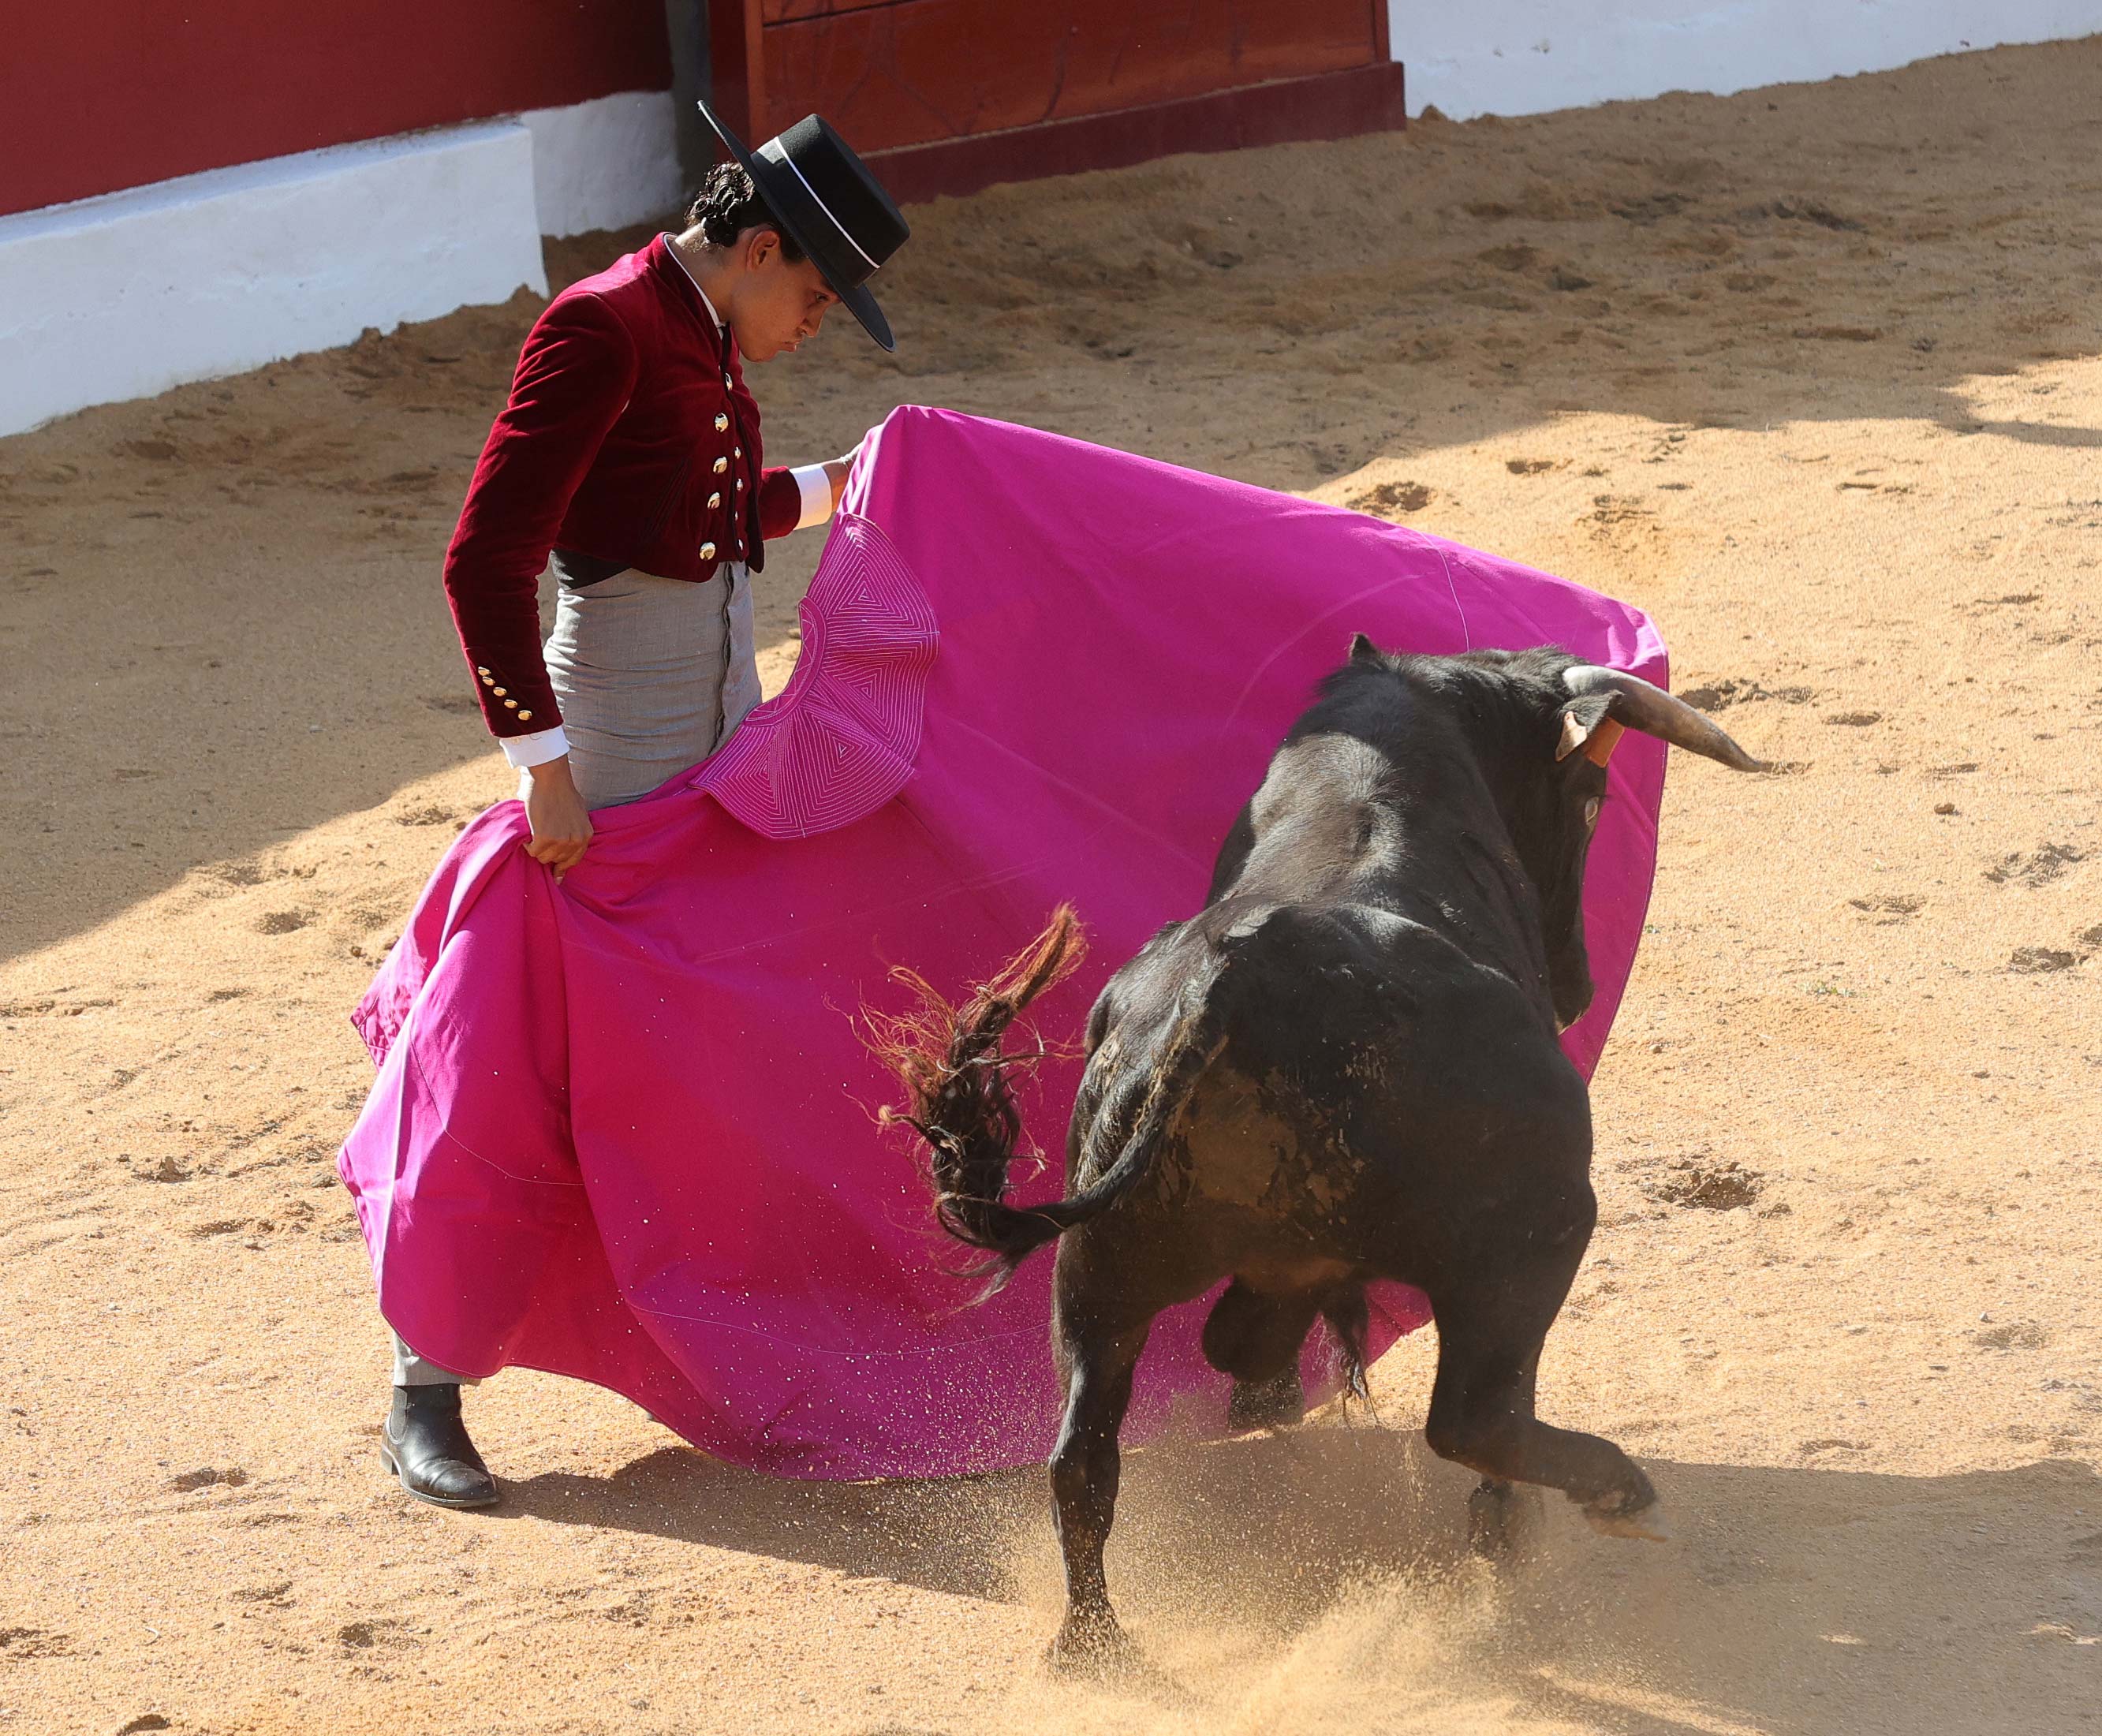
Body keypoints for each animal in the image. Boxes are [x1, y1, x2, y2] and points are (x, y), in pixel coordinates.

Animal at [878, 639, 1765, 1664]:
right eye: (1588, 798)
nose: (1576, 985)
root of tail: (1237, 979)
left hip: (1098, 1268)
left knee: (1085, 1458)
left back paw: (1096, 1647)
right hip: (1537, 1233)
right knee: (1477, 1415)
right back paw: (1597, 1498)